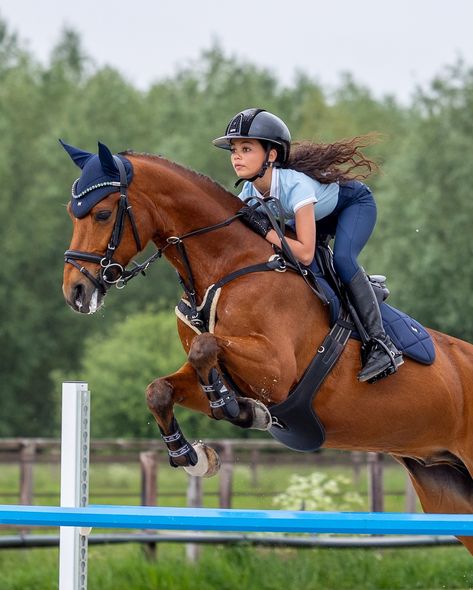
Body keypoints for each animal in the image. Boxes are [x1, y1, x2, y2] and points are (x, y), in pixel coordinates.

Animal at [60, 142, 472, 556]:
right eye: (71, 213)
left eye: (102, 213)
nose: (75, 292)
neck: (226, 264)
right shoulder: (218, 373)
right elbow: (161, 389)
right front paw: (194, 456)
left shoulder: (275, 370)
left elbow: (205, 348)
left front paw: (233, 408)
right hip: (446, 488)